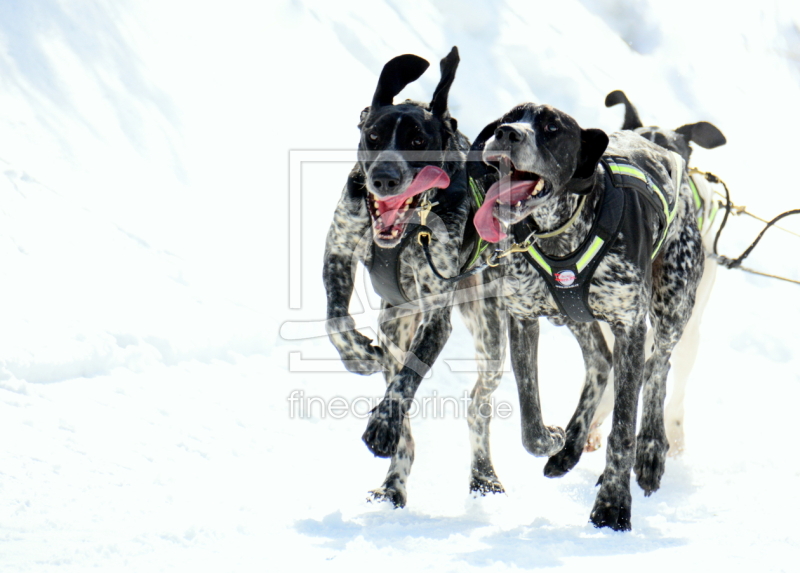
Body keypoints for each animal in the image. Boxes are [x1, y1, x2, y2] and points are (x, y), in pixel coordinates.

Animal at [324, 48, 506, 504]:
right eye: (373, 136)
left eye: (418, 142)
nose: (384, 178)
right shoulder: (338, 251)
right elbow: (336, 321)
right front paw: (359, 356)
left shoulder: (436, 315)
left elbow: (408, 380)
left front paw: (382, 425)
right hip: (395, 326)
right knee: (403, 409)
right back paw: (393, 484)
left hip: (489, 334)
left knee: (478, 404)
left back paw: (483, 475)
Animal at [468, 103, 708, 532]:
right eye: (509, 116)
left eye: (552, 128)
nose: (508, 133)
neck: (561, 233)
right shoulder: (523, 317)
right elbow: (529, 419)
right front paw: (553, 439)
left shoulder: (630, 326)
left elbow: (623, 430)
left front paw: (613, 504)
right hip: (577, 316)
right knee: (599, 362)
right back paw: (570, 448)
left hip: (672, 305)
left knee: (658, 368)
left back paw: (651, 451)